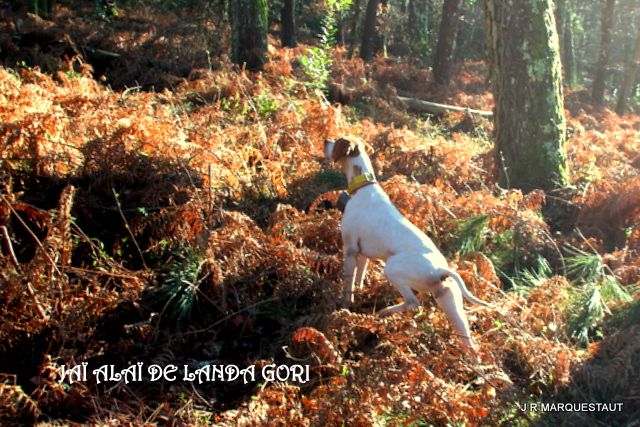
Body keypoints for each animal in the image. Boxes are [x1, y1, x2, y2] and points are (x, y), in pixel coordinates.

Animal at [322, 139, 488, 356]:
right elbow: (360, 278)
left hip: (392, 268)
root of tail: (439, 269)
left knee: (412, 302)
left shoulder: (350, 250)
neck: (364, 186)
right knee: (469, 343)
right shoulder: (363, 254)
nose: (325, 141)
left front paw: (344, 306)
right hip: (451, 303)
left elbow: (348, 285)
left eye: (337, 141)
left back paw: (385, 312)